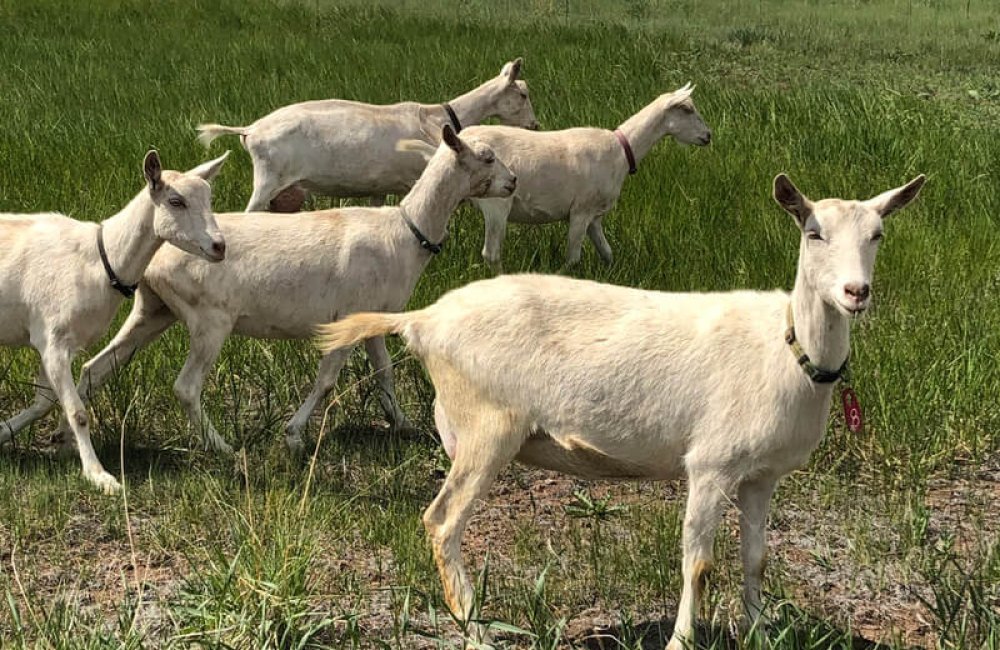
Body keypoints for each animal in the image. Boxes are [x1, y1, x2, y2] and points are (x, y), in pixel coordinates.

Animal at [0, 151, 230, 493]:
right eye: (176, 201)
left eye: (209, 198)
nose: (219, 246)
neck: (98, 260)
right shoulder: (53, 338)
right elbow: (78, 412)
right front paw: (100, 476)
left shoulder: (52, 339)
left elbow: (45, 400)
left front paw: (4, 433)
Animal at [49, 126, 514, 458]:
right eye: (487, 156)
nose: (512, 182)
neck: (404, 231)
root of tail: (154, 260)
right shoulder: (347, 314)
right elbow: (327, 380)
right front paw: (293, 435)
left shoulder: (374, 314)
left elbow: (384, 372)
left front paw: (402, 424)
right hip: (209, 318)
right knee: (185, 387)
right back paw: (223, 448)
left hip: (153, 309)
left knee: (96, 367)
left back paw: (57, 435)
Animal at [197, 58, 535, 212]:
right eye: (522, 94)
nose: (534, 125)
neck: (436, 118)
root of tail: (249, 130)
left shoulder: (379, 187)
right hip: (268, 180)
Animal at [315, 173, 925, 648]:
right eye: (812, 232)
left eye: (878, 234)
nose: (855, 292)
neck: (786, 348)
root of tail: (423, 319)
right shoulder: (710, 464)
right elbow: (699, 563)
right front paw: (682, 640)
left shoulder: (761, 475)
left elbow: (756, 558)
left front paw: (758, 633)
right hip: (487, 424)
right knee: (442, 523)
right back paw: (477, 631)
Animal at [461, 83, 710, 270]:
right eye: (687, 109)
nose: (708, 136)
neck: (620, 152)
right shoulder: (581, 210)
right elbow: (573, 258)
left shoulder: (595, 216)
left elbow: (607, 252)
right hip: (496, 201)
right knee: (491, 253)